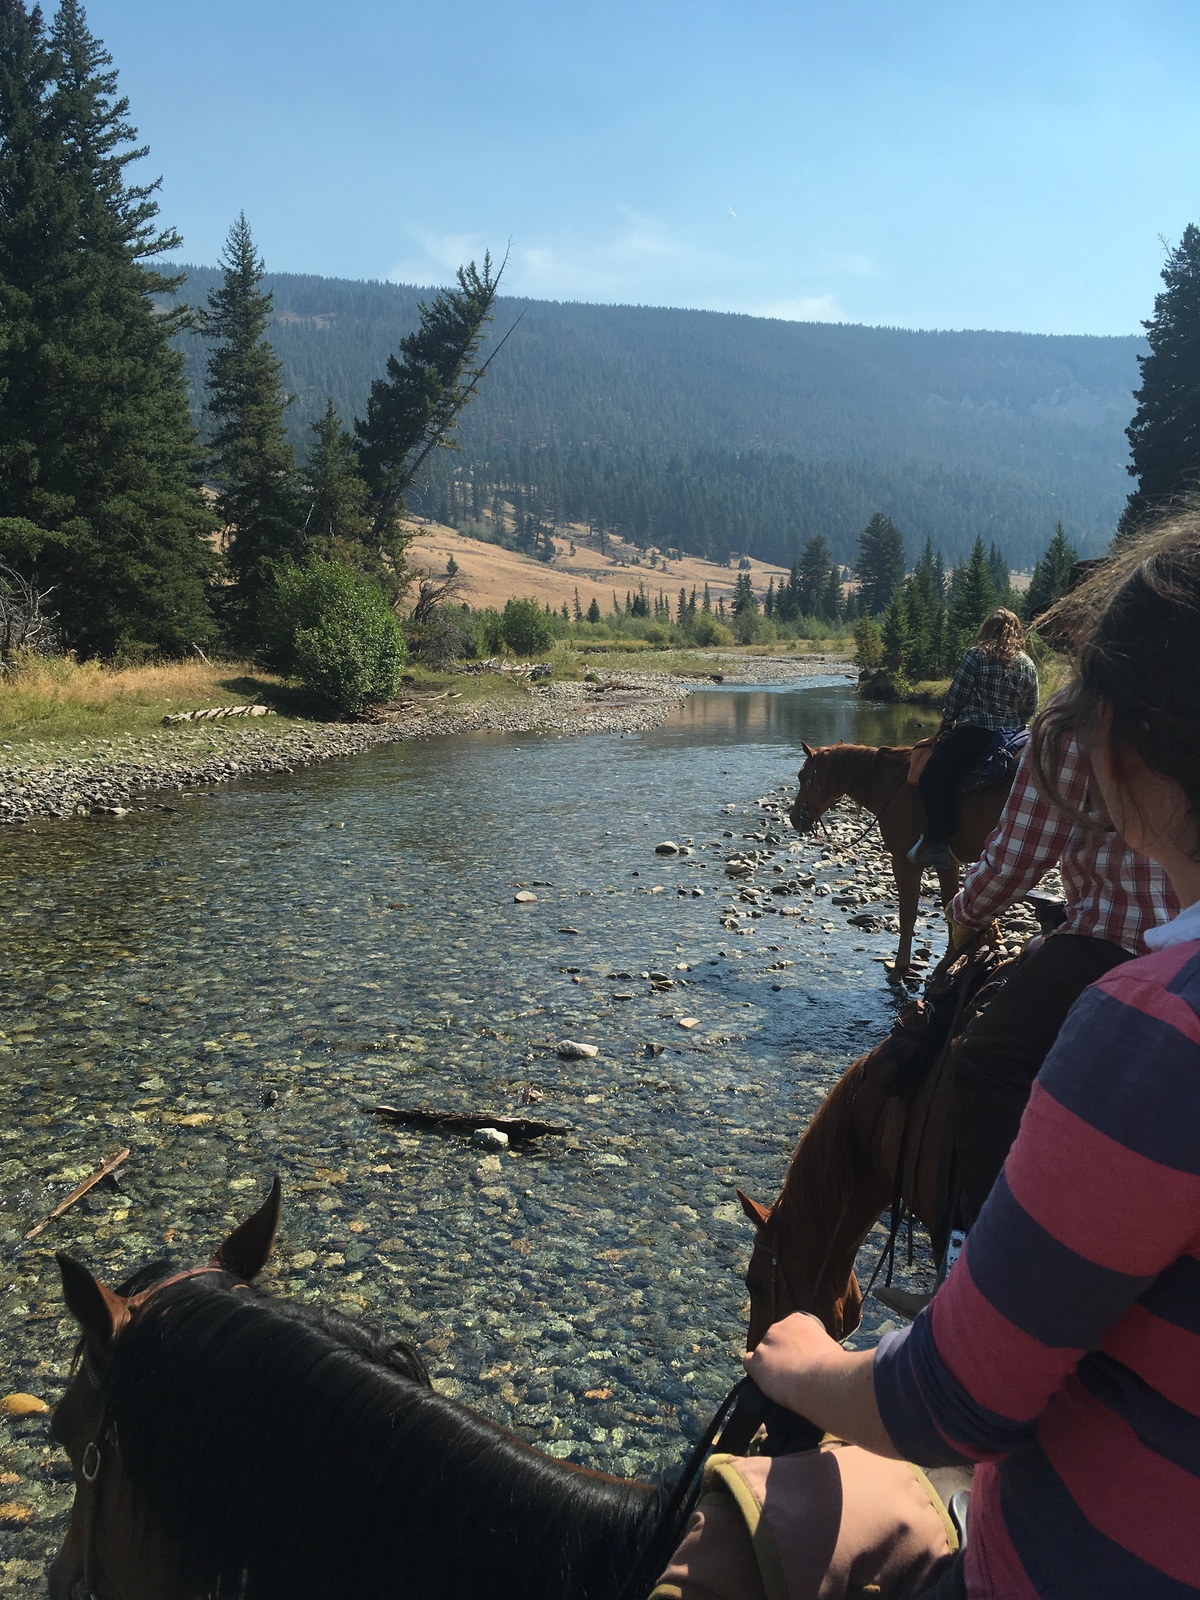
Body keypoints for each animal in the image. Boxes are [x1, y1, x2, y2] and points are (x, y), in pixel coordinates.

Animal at [790, 741, 1014, 978]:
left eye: (802, 776)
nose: (794, 818)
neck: (894, 785)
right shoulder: (948, 862)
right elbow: (951, 903)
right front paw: (950, 960)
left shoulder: (904, 861)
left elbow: (908, 914)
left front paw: (900, 966)